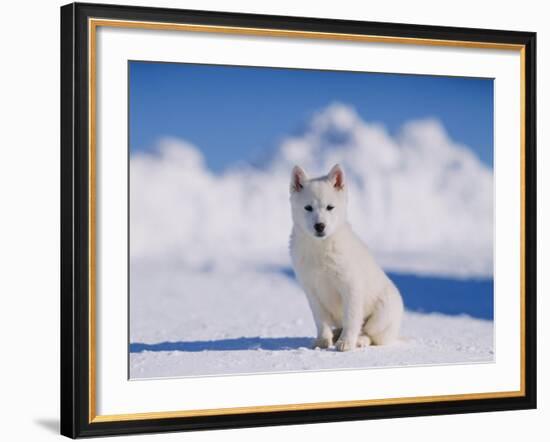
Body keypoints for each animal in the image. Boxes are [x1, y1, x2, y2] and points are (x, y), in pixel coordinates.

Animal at [288, 165, 406, 352]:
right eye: (308, 208)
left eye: (330, 207)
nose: (320, 226)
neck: (321, 247)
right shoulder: (311, 290)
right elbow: (320, 320)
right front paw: (323, 341)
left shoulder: (351, 287)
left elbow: (351, 318)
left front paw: (346, 343)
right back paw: (336, 334)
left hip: (381, 315)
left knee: (370, 334)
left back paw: (359, 340)